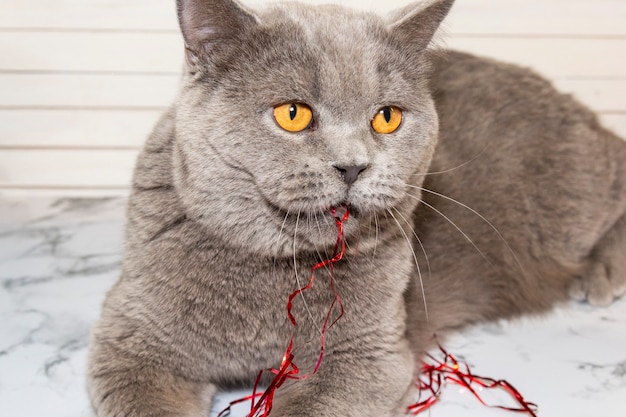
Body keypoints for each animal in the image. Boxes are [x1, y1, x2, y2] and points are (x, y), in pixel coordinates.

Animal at [86, 0, 624, 414]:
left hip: (566, 200)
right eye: (292, 114)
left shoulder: (367, 355)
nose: (352, 166)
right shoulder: (132, 342)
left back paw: (602, 272)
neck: (277, 274)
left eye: (387, 117)